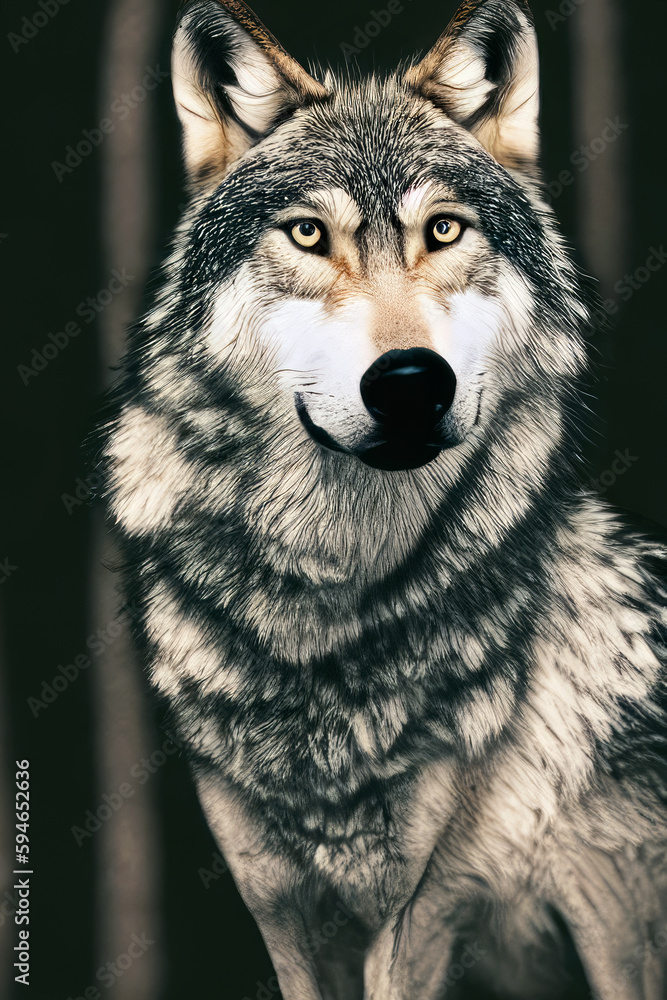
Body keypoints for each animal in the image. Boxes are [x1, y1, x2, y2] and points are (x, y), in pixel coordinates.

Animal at [101, 0, 667, 997]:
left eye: (442, 231)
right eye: (306, 235)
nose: (410, 381)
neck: (326, 624)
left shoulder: (422, 905)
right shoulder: (281, 911)